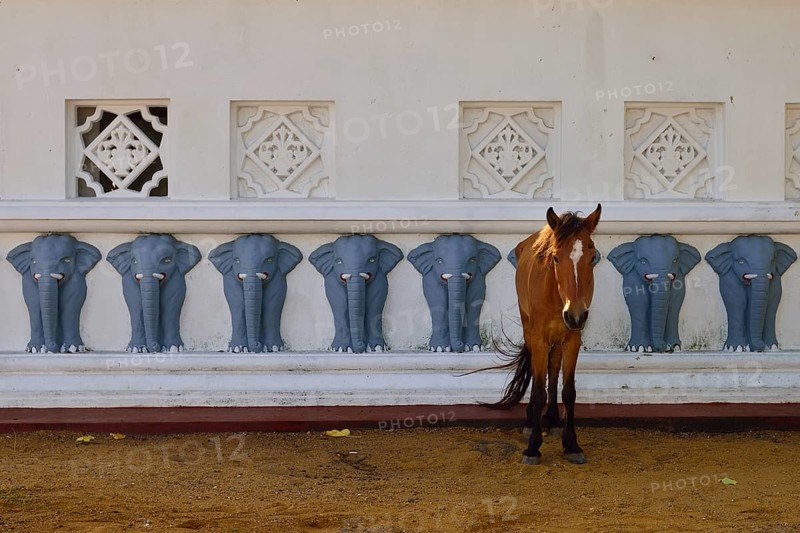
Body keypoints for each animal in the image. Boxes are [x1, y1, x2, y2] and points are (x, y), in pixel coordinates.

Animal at [485, 204, 602, 465]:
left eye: (592, 257)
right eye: (556, 257)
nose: (576, 315)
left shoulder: (572, 339)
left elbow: (568, 391)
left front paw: (571, 444)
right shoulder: (539, 339)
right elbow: (538, 391)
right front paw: (533, 447)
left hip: (558, 340)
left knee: (553, 371)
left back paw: (553, 419)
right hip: (530, 332)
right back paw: (532, 421)